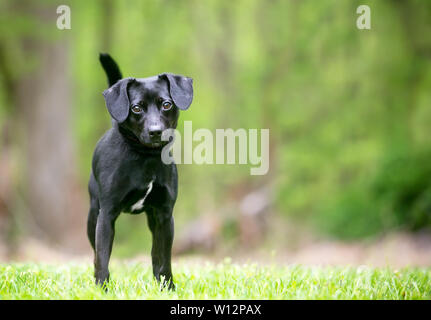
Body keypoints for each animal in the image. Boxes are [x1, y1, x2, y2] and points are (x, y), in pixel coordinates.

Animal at [87, 53, 193, 290]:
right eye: (136, 108)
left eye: (166, 104)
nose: (156, 131)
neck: (146, 158)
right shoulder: (106, 216)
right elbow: (103, 258)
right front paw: (102, 288)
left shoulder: (164, 215)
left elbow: (164, 258)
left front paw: (167, 287)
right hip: (92, 216)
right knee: (95, 253)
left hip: (153, 221)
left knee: (155, 254)